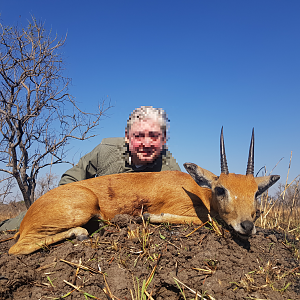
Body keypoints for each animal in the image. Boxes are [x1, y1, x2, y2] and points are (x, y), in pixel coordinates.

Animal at [9, 127, 282, 254]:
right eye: (220, 189)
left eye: (256, 192)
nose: (247, 226)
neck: (198, 192)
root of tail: (26, 218)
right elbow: (203, 221)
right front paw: (151, 216)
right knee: (17, 248)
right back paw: (80, 233)